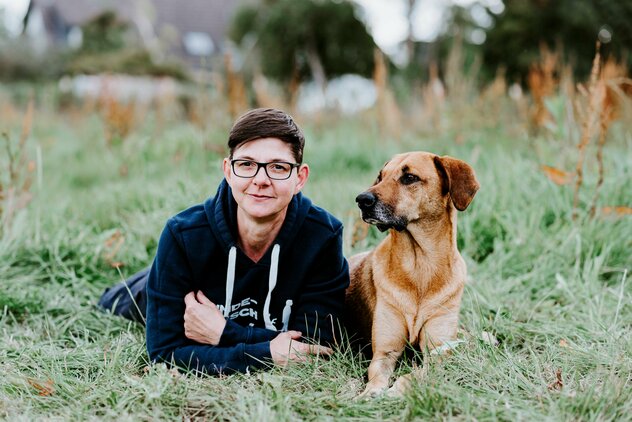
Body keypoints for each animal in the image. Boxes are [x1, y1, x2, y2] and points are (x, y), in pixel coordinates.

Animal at [346, 152, 478, 398]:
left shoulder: (437, 353)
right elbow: (376, 376)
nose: (362, 199)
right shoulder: (384, 352)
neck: (420, 265)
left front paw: (396, 390)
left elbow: (411, 376)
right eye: (380, 176)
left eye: (409, 177)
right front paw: (369, 394)